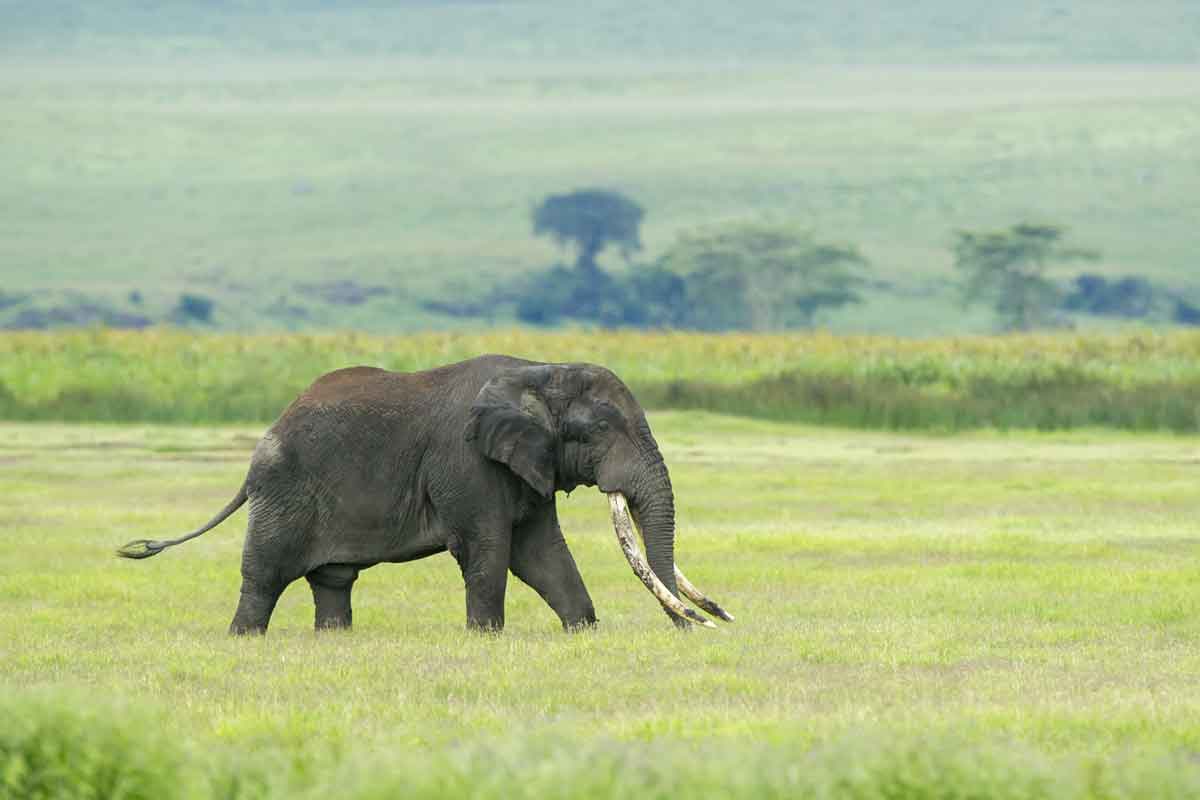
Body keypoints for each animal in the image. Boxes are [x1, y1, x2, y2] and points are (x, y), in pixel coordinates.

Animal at [119, 355, 729, 633]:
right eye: (601, 430)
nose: (698, 623)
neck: (539, 370)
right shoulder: (466, 463)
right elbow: (489, 551)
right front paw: (486, 639)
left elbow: (542, 553)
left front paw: (583, 632)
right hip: (283, 492)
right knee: (265, 575)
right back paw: (245, 640)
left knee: (332, 581)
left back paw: (333, 640)